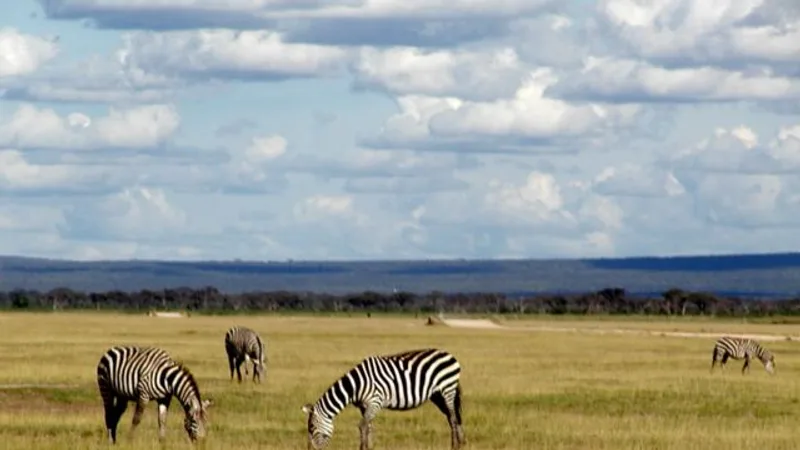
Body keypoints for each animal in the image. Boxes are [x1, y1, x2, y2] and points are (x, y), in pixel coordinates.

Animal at [302, 348, 465, 450]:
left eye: (312, 427)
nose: (309, 449)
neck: (355, 385)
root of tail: (449, 354)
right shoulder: (365, 406)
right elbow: (369, 427)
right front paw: (370, 447)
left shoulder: (375, 402)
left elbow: (362, 426)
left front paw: (363, 448)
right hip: (437, 395)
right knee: (451, 416)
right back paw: (461, 442)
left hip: (447, 389)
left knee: (452, 417)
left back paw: (454, 446)